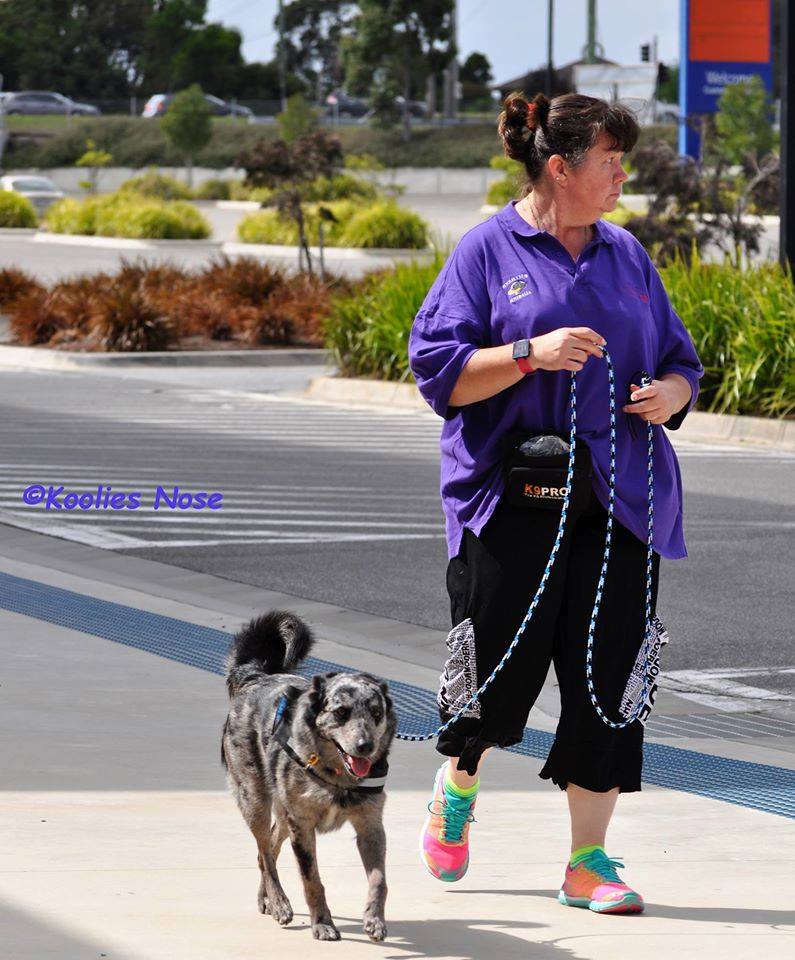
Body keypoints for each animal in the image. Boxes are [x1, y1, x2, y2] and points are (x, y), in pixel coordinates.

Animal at [221, 610, 397, 941]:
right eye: (340, 712)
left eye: (376, 713)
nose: (365, 746)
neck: (337, 777)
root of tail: (256, 678)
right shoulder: (302, 826)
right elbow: (312, 879)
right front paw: (323, 923)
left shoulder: (370, 826)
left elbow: (379, 879)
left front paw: (374, 919)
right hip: (255, 801)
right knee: (264, 853)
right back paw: (279, 902)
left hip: (282, 813)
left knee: (270, 848)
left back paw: (266, 898)